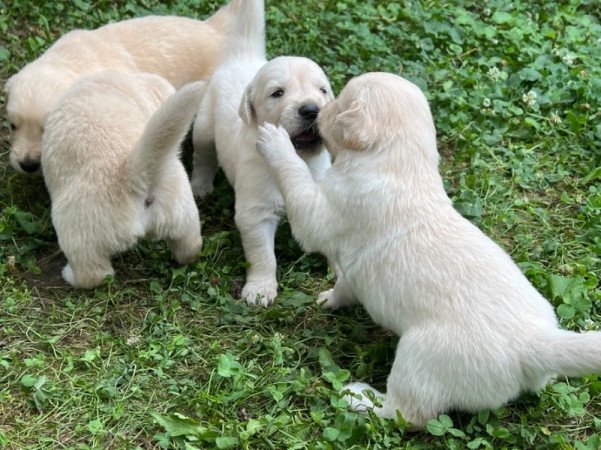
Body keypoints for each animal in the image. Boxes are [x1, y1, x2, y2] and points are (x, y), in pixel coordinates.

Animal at [41, 71, 204, 288]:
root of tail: (130, 174)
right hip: (182, 210)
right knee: (190, 246)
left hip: (78, 231)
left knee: (95, 274)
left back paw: (70, 275)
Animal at [255, 72, 600, 428]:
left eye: (338, 101)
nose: (316, 111)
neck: (399, 161)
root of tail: (534, 342)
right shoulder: (355, 267)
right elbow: (346, 285)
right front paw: (330, 299)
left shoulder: (324, 212)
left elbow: (299, 188)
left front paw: (275, 142)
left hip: (418, 358)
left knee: (405, 412)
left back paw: (357, 396)